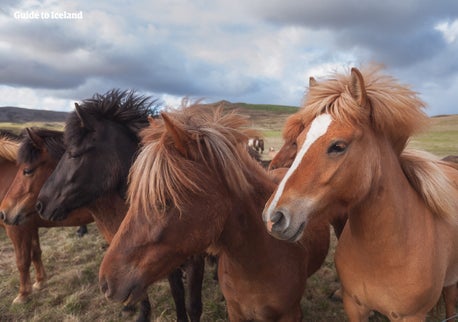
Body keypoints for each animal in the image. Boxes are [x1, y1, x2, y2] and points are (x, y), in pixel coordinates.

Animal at [262, 65, 458, 320]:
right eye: (299, 141)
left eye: (338, 146)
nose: (273, 217)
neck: (383, 252)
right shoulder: (354, 306)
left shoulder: (411, 316)